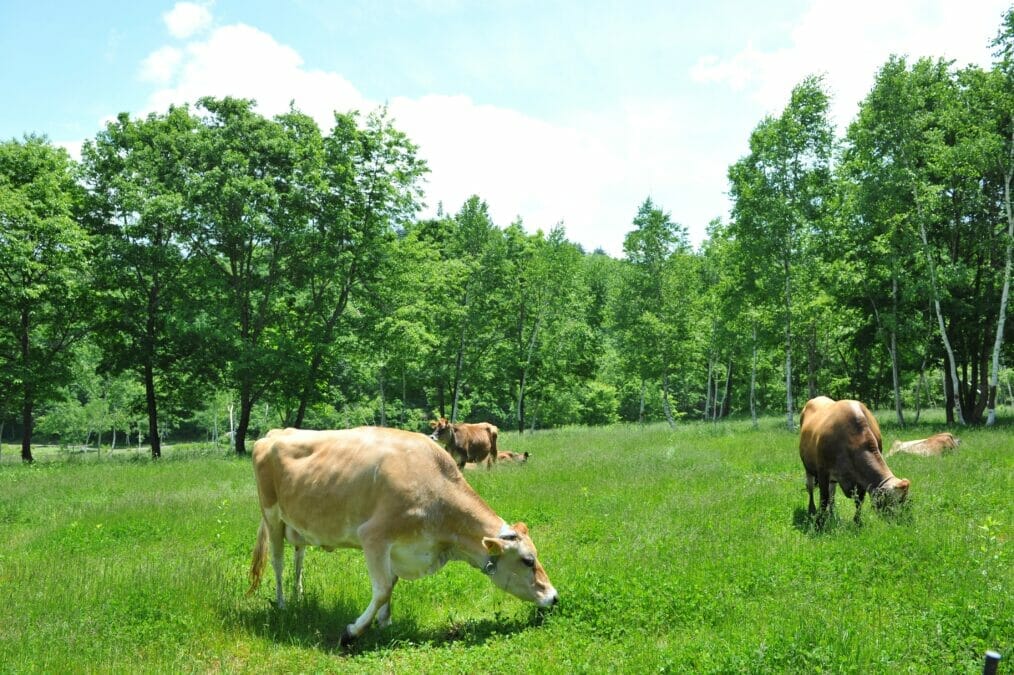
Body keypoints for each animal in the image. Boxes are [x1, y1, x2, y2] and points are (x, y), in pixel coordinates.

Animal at [248, 425, 559, 640]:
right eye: (528, 561)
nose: (554, 597)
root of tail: (275, 433)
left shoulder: (399, 548)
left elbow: (392, 582)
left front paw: (385, 622)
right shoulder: (373, 536)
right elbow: (383, 588)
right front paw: (353, 631)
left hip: (297, 523)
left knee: (298, 557)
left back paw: (298, 595)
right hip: (271, 514)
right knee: (277, 561)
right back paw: (283, 604)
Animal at [799, 395, 912, 527]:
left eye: (906, 501)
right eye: (894, 501)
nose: (899, 524)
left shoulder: (861, 480)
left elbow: (859, 500)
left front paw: (857, 521)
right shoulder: (823, 472)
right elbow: (824, 499)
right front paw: (819, 522)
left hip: (832, 478)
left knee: (832, 493)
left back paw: (832, 514)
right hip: (808, 468)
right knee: (811, 488)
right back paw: (812, 510)